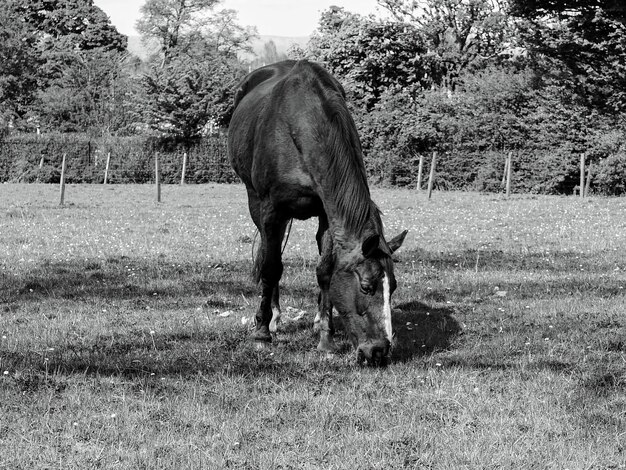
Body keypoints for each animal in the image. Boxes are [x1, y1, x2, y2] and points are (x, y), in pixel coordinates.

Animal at [227, 58, 408, 366]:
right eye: (367, 286)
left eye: (393, 287)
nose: (379, 351)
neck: (300, 125)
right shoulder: (270, 210)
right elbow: (271, 266)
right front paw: (262, 334)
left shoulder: (327, 212)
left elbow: (325, 271)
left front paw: (326, 338)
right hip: (257, 205)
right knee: (268, 255)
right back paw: (272, 318)